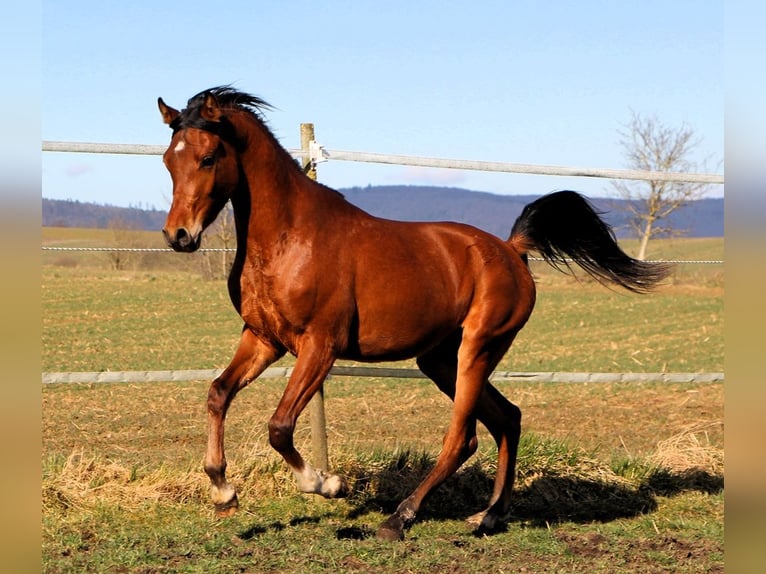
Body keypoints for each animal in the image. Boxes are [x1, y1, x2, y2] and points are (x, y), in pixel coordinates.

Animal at [158, 88, 672, 544]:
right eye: (168, 160)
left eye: (209, 157)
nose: (178, 236)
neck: (289, 238)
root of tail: (511, 249)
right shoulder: (263, 338)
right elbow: (218, 393)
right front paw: (224, 492)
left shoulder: (320, 345)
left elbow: (280, 426)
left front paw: (326, 483)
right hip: (440, 359)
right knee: (507, 418)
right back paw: (490, 516)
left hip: (477, 350)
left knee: (463, 437)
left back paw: (400, 519)